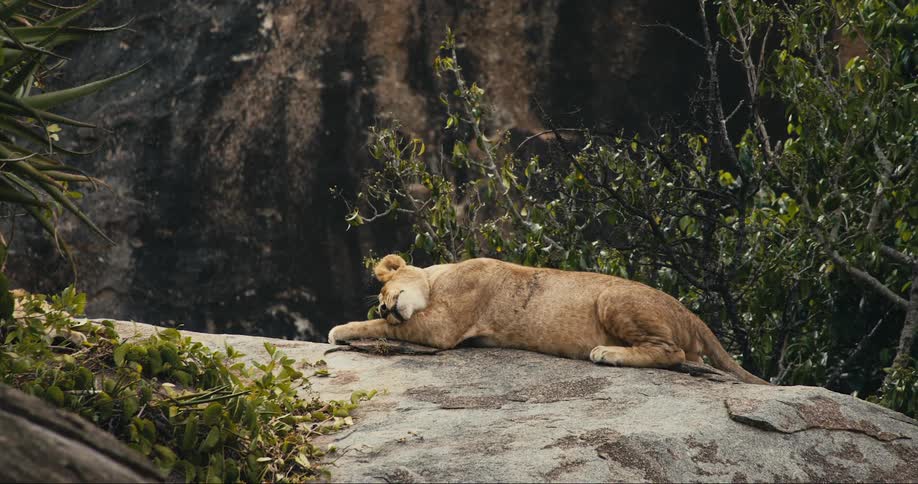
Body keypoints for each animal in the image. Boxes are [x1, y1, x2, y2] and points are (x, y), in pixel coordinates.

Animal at [328, 254, 768, 384]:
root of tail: (690, 313)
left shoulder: (444, 324)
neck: (437, 276)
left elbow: (378, 328)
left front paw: (340, 329)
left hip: (612, 296)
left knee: (671, 352)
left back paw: (608, 353)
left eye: (383, 294)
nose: (384, 306)